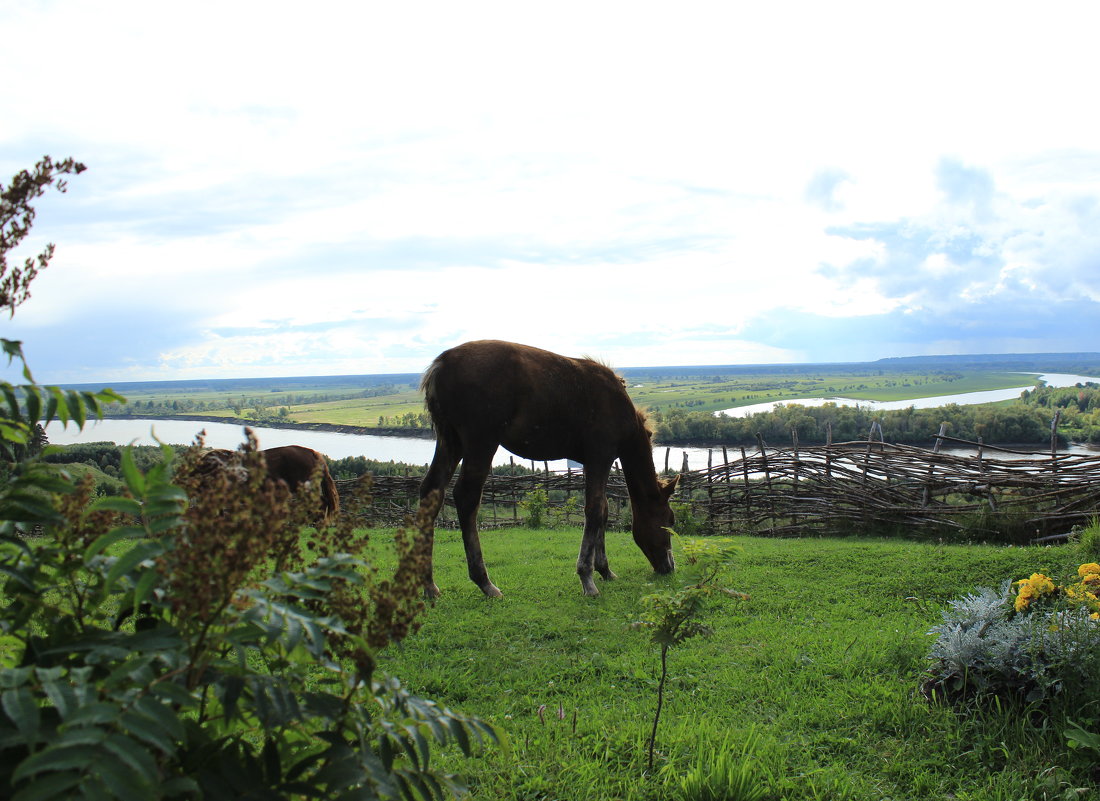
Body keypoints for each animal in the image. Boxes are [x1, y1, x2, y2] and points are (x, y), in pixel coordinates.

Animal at [420, 341, 677, 598]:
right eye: (669, 520)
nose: (669, 566)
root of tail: (440, 364)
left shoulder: (589, 462)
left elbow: (603, 510)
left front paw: (604, 569)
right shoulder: (600, 456)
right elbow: (595, 510)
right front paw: (587, 576)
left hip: (450, 441)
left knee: (432, 490)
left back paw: (429, 584)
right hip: (481, 441)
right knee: (466, 497)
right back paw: (484, 582)